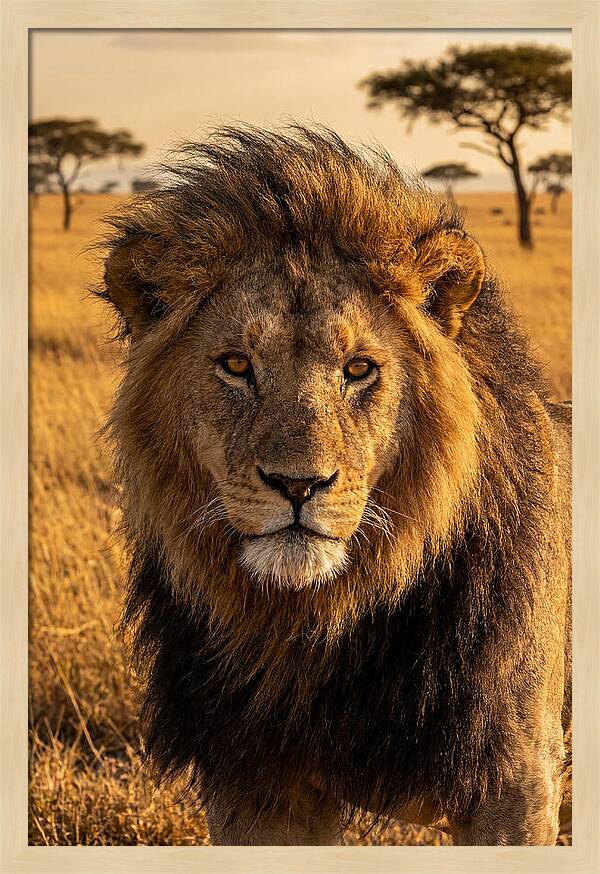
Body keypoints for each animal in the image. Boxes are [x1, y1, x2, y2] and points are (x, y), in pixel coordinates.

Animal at [98, 126, 572, 846]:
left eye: (359, 368)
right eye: (235, 365)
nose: (298, 485)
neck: (319, 625)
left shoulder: (515, 782)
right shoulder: (255, 785)